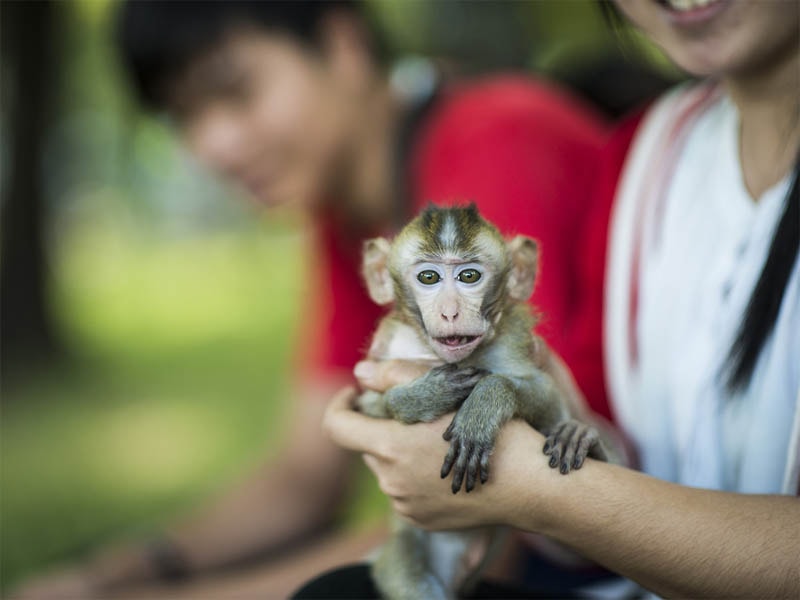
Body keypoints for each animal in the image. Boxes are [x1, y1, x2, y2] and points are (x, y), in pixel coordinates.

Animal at [356, 204, 608, 596]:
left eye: (469, 276)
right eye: (428, 277)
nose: (450, 312)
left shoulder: (513, 341)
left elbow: (546, 396)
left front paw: (482, 407)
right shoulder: (389, 345)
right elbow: (369, 407)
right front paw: (424, 395)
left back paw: (581, 438)